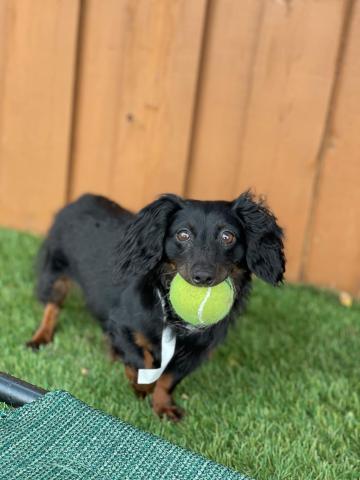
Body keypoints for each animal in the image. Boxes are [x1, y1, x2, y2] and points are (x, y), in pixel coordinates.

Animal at [26, 191, 286, 420]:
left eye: (227, 236)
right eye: (183, 235)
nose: (202, 277)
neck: (169, 308)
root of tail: (82, 198)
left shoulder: (196, 353)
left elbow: (168, 380)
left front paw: (162, 407)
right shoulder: (120, 324)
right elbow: (141, 360)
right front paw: (140, 386)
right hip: (56, 275)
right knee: (52, 307)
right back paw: (41, 338)